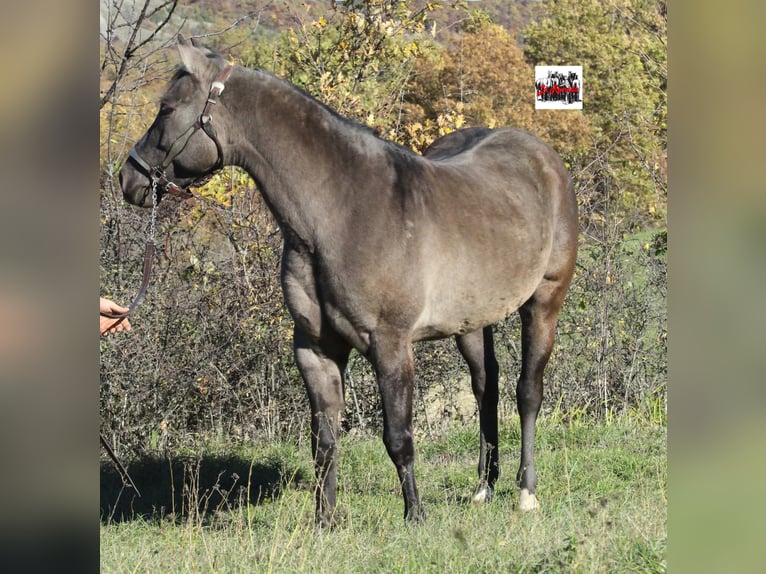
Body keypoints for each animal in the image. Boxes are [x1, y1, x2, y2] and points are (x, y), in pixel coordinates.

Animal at [119, 37, 578, 527]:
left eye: (167, 108)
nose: (128, 179)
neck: (341, 211)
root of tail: (543, 157)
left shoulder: (390, 344)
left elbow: (398, 437)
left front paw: (415, 516)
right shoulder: (316, 348)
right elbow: (323, 441)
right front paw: (324, 521)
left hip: (544, 303)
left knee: (528, 391)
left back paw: (526, 491)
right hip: (471, 321)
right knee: (485, 388)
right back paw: (483, 488)